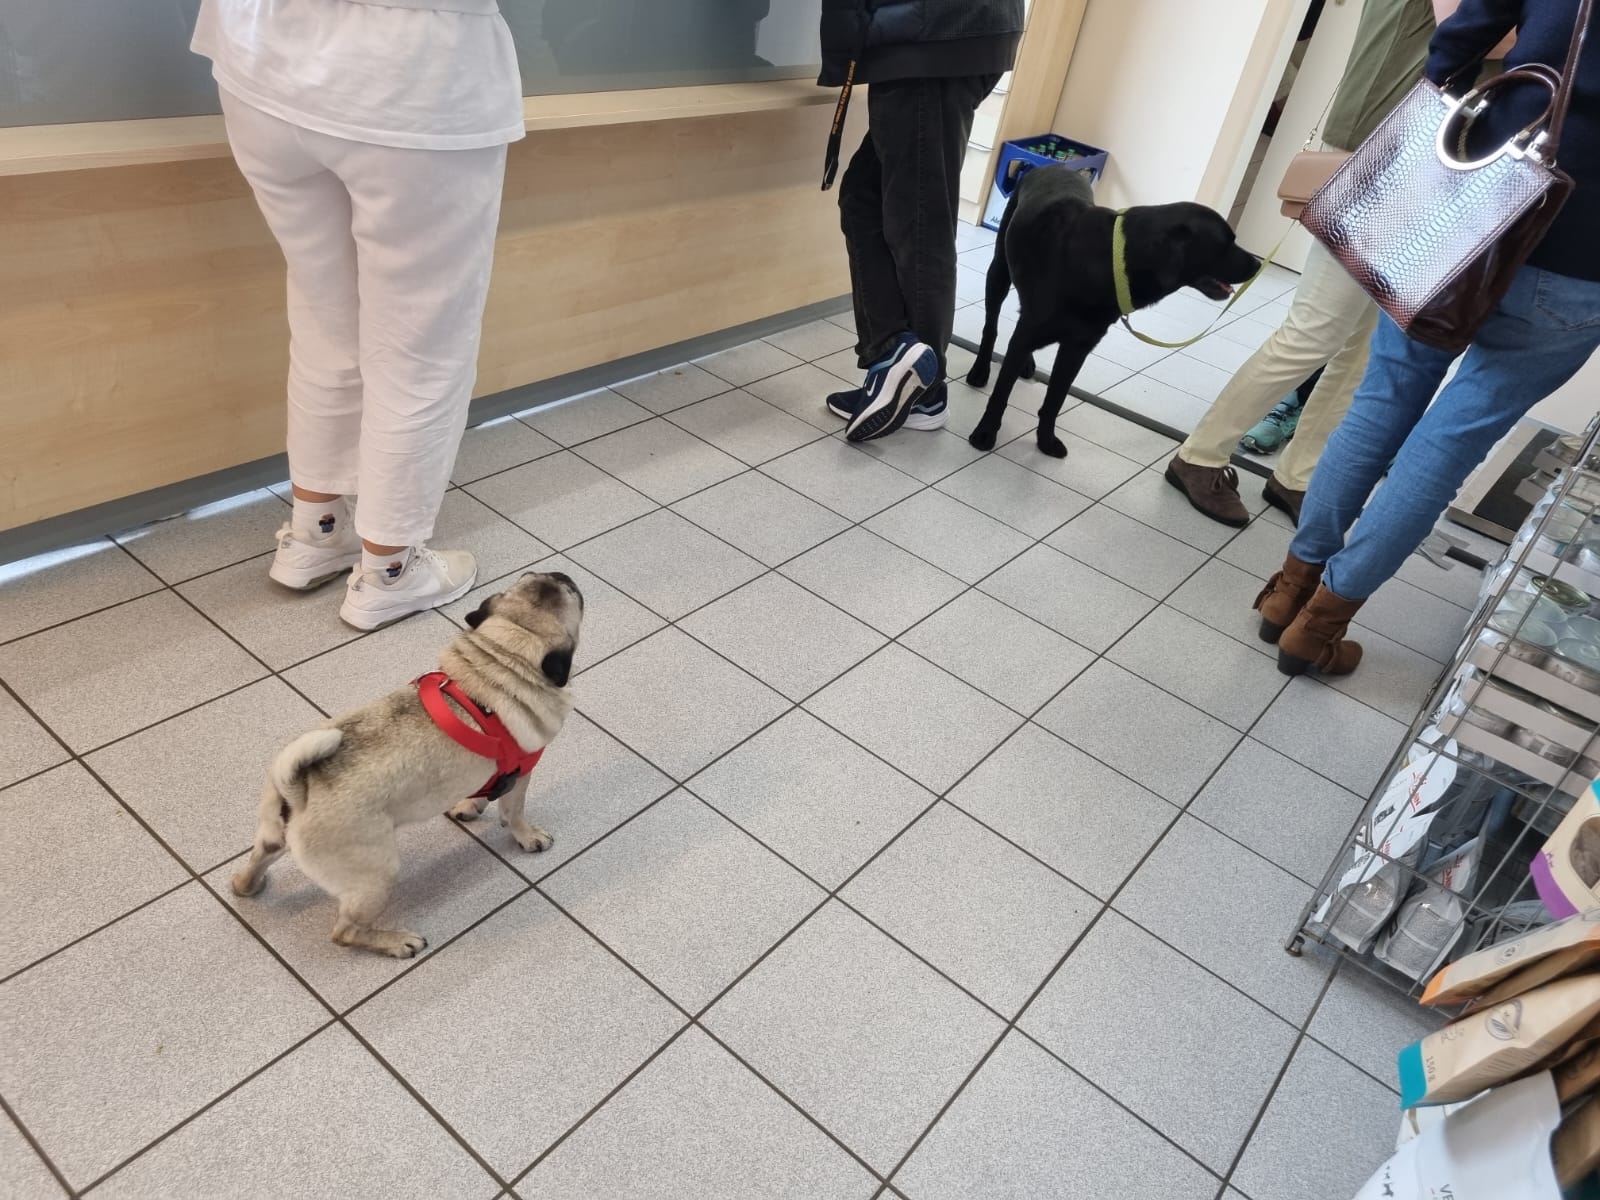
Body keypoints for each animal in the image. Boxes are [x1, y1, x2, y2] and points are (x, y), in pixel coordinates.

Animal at [232, 571, 584, 958]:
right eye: (573, 594)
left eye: (531, 576)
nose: (563, 573)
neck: (498, 663)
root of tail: (299, 790)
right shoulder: (521, 771)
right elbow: (513, 811)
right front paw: (527, 835)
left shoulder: (488, 769)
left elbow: (481, 789)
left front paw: (469, 806)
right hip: (377, 874)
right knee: (345, 932)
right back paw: (396, 941)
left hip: (273, 834)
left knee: (258, 860)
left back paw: (248, 884)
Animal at [965, 165, 1260, 457]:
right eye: (1225, 243)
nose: (1258, 265)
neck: (1112, 260)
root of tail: (1051, 165)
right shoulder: (1035, 333)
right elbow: (1001, 393)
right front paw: (986, 433)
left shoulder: (1078, 347)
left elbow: (1055, 400)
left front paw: (1046, 441)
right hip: (999, 271)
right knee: (991, 326)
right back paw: (980, 370)